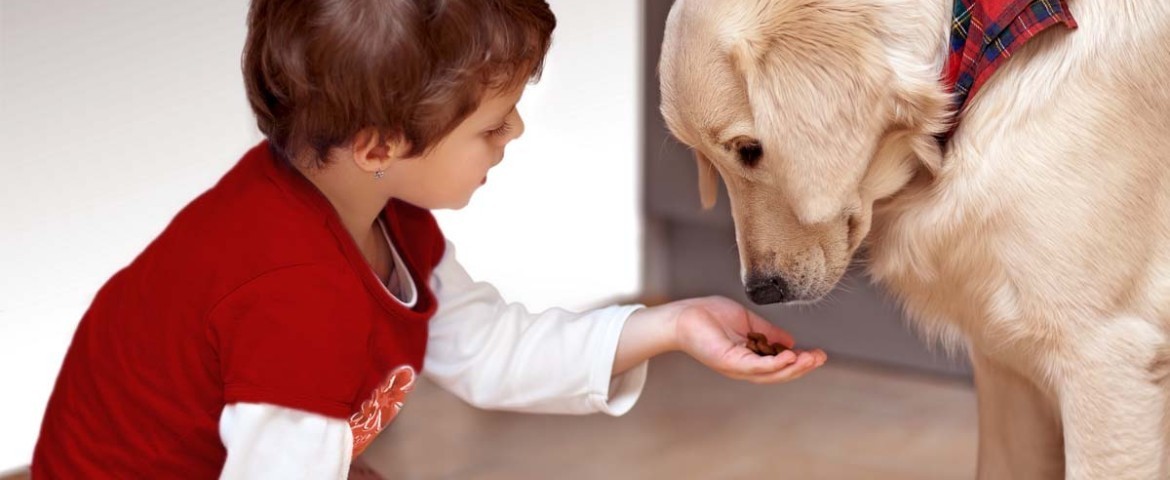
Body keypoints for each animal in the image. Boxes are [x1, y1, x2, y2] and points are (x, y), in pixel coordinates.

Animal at [664, 0, 1170, 475]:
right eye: (707, 158)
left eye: (751, 150)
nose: (761, 291)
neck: (985, 55)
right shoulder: (1007, 364)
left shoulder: (1105, 358)